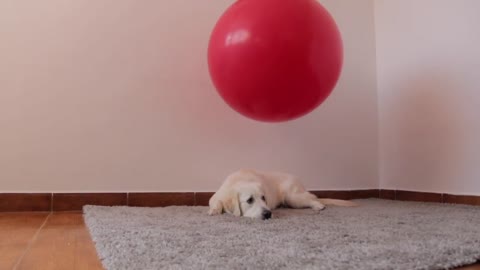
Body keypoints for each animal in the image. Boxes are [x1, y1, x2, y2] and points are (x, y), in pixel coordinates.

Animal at [208, 170, 358, 220]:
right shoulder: (217, 195)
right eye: (250, 200)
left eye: (264, 198)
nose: (268, 214)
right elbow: (215, 202)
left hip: (293, 197)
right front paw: (214, 210)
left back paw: (318, 206)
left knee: (313, 198)